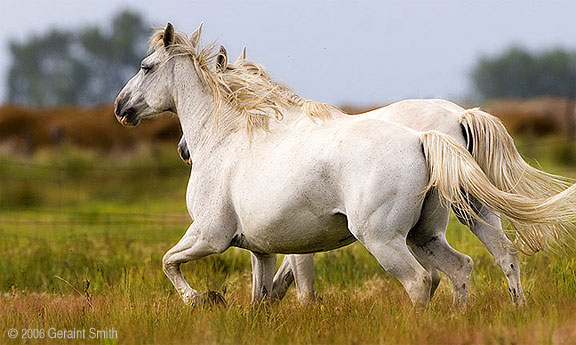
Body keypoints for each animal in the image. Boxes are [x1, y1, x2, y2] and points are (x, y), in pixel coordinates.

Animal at [115, 24, 576, 310]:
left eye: (145, 66)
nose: (121, 108)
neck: (228, 138)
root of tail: (440, 129)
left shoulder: (211, 235)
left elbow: (170, 262)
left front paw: (204, 299)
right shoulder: (262, 247)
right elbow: (261, 296)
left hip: (386, 238)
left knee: (422, 281)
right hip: (443, 224)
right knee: (483, 260)